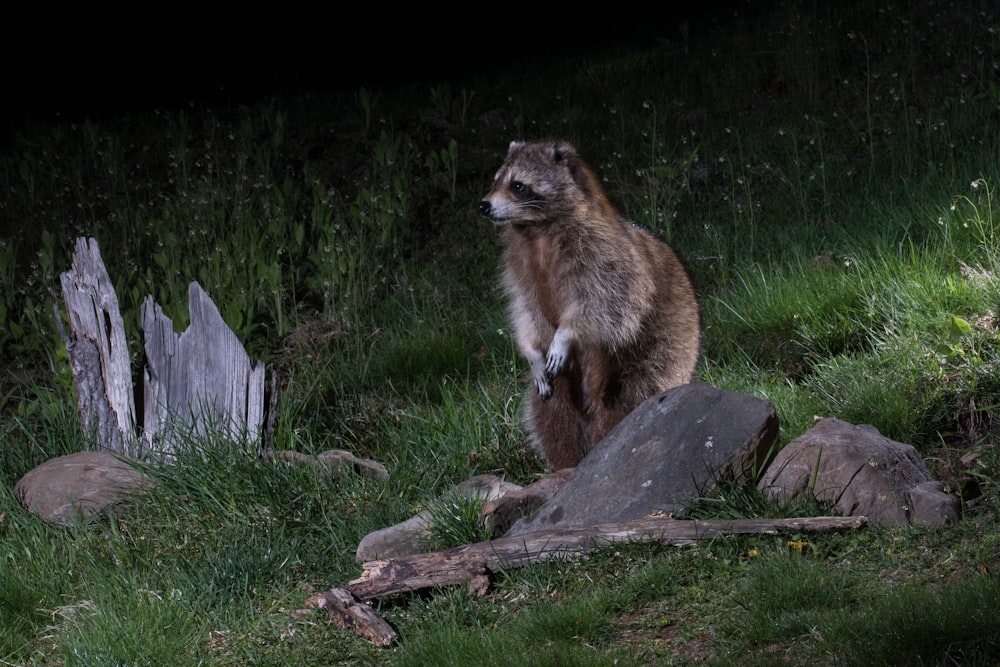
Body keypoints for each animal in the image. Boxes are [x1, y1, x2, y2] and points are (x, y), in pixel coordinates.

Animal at [474, 138, 696, 470]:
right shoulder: (519, 269)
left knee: (628, 403)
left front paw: (567, 334)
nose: (483, 205)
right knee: (552, 414)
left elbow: (607, 305)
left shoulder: (605, 255)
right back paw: (566, 464)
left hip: (661, 353)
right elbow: (525, 312)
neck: (536, 231)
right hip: (564, 386)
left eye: (518, 185)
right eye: (495, 180)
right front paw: (531, 351)